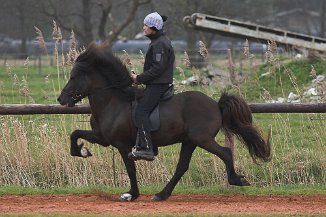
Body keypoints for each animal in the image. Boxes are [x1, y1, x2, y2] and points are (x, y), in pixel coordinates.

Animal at [57, 42, 272, 202]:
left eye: (73, 77)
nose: (61, 99)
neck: (114, 101)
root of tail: (216, 104)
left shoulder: (121, 144)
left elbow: (130, 169)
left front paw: (132, 195)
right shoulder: (102, 137)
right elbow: (75, 133)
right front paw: (82, 151)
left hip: (201, 139)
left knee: (226, 153)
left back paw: (237, 180)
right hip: (190, 141)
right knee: (182, 167)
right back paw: (162, 194)